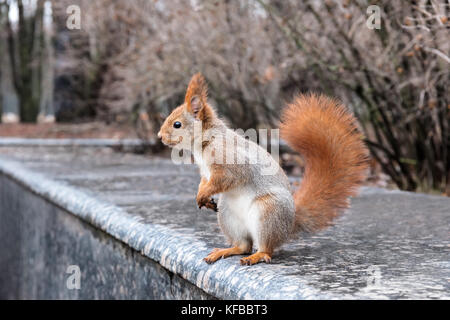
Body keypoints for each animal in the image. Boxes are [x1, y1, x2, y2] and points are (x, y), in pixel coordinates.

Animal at [158, 74, 370, 266]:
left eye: (177, 124)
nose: (160, 136)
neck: (206, 141)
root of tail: (289, 224)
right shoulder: (205, 171)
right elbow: (204, 181)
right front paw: (201, 196)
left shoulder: (231, 162)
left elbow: (226, 178)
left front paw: (204, 194)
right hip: (227, 214)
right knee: (244, 246)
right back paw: (226, 250)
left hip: (268, 212)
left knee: (266, 249)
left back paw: (257, 256)